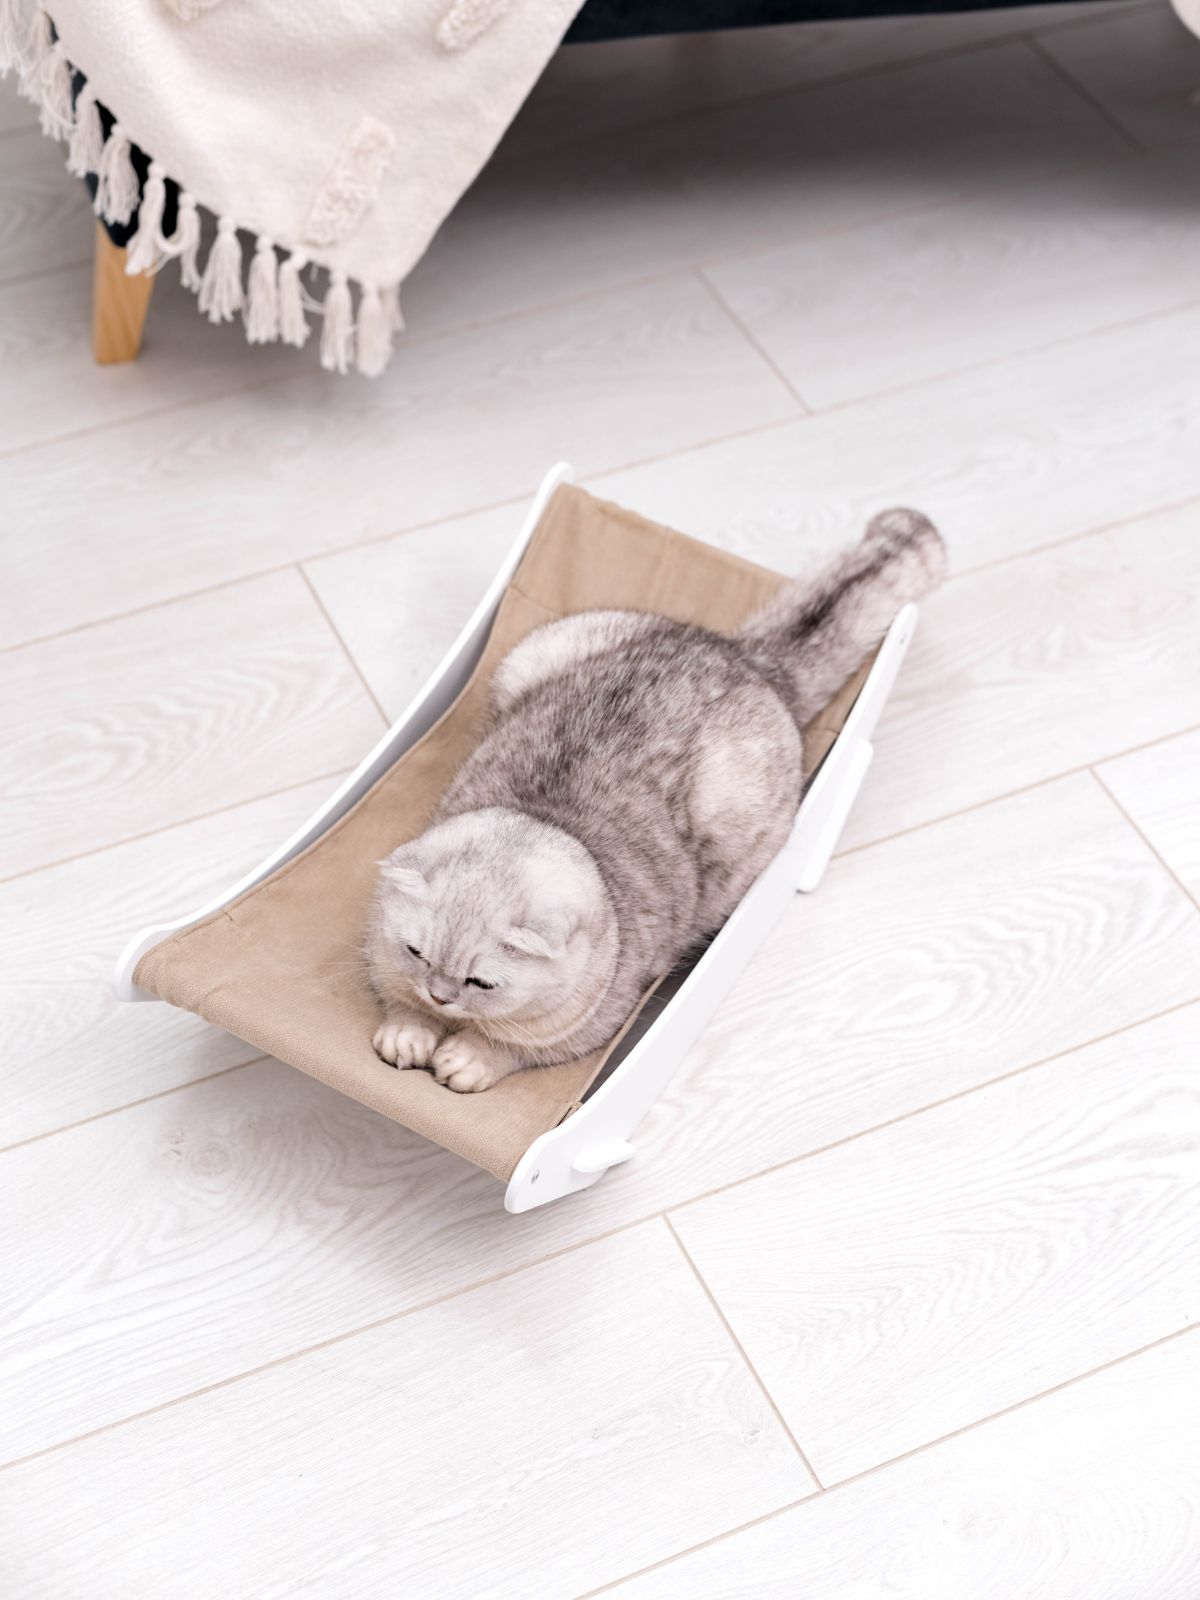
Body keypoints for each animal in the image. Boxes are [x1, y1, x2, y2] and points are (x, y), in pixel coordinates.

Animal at [366, 505, 947, 1094]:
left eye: (481, 982)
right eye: (416, 952)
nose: (440, 995)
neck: (545, 819)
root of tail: (742, 656)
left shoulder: (590, 1021)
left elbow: (514, 1047)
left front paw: (469, 1056)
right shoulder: (382, 960)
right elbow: (398, 999)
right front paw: (410, 1030)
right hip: (535, 657)